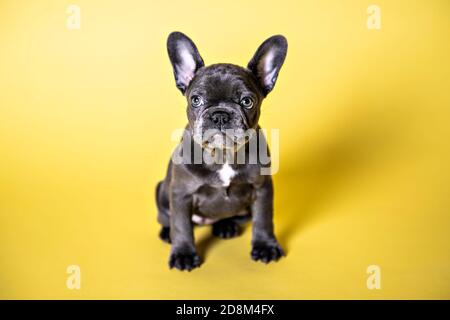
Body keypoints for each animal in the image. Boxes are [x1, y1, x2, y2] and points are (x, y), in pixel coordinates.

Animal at [156, 31, 286, 270]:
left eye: (247, 101)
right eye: (196, 100)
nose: (220, 115)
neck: (222, 154)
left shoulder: (262, 189)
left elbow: (263, 220)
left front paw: (265, 246)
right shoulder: (180, 194)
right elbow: (181, 226)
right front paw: (184, 253)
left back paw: (226, 226)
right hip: (161, 190)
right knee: (168, 218)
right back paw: (167, 233)